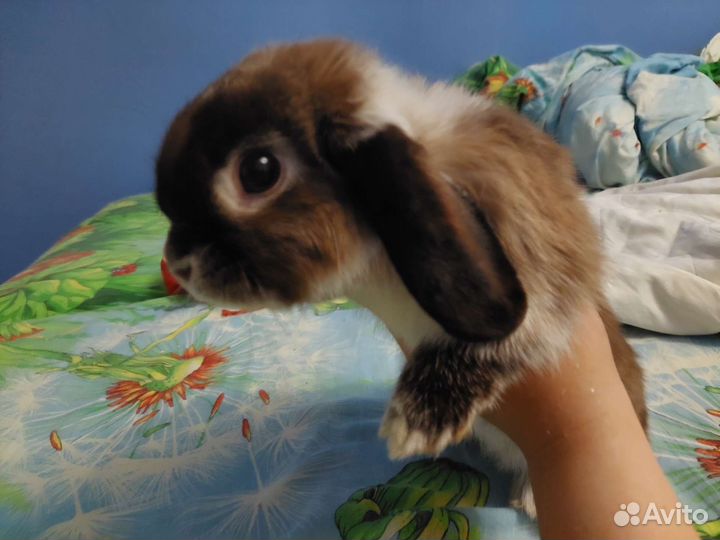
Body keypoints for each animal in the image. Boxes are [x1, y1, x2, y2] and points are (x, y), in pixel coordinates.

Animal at [155, 39, 647, 517]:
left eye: (259, 170)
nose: (177, 263)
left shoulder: (547, 277)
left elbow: (506, 340)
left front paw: (417, 422)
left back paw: (526, 496)